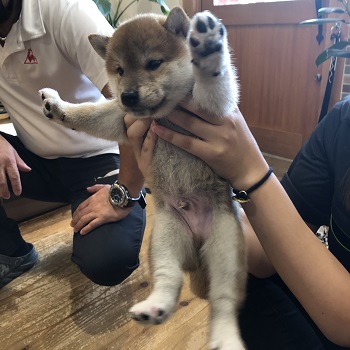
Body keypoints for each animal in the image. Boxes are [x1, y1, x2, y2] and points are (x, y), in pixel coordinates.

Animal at [40, 6, 246, 348]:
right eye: (120, 70)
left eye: (153, 63)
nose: (128, 96)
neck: (166, 114)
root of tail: (197, 243)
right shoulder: (118, 118)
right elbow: (86, 116)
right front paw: (57, 107)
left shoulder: (213, 109)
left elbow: (216, 83)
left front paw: (208, 48)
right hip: (164, 236)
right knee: (168, 277)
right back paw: (155, 307)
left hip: (226, 244)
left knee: (224, 300)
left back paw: (226, 337)